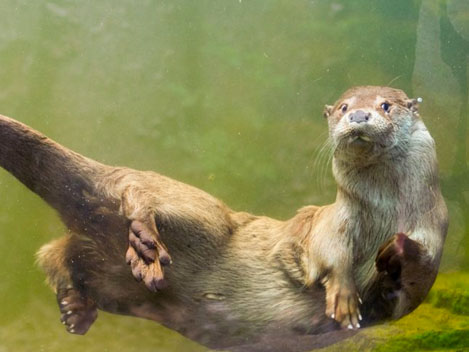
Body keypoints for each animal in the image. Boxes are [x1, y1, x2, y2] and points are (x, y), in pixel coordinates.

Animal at [0, 86, 446, 350]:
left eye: (385, 105)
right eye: (343, 107)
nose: (358, 117)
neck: (381, 215)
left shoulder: (434, 228)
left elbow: (411, 287)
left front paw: (399, 252)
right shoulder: (333, 222)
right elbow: (327, 254)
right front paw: (343, 297)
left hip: (113, 273)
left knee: (61, 252)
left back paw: (76, 309)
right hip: (203, 215)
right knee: (132, 191)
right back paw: (144, 243)